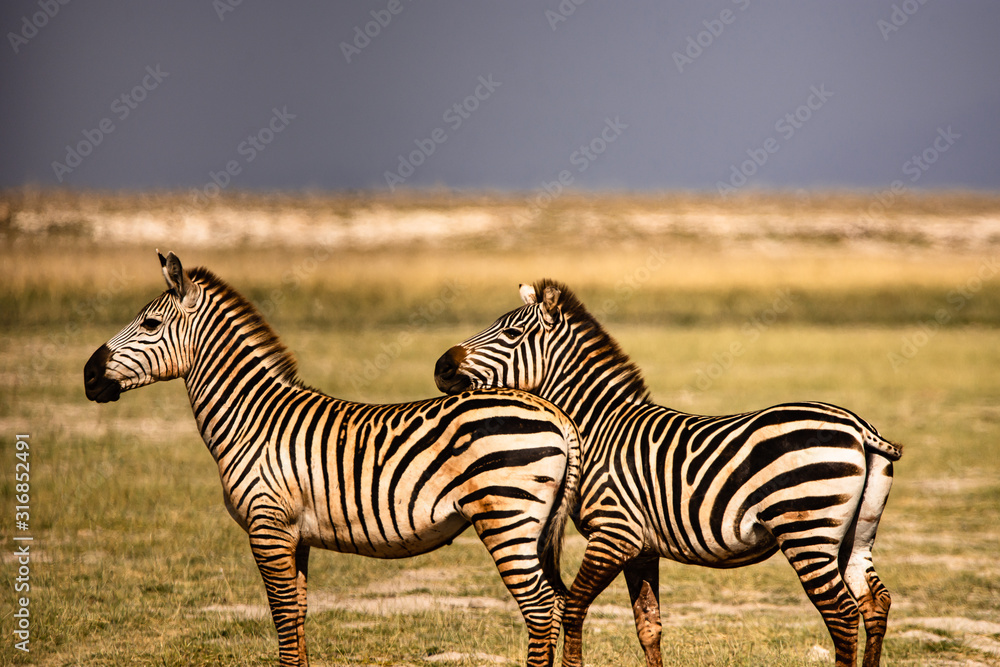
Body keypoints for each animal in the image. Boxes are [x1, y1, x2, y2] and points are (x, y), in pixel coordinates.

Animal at [83, 253, 582, 667]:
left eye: (149, 324)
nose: (88, 375)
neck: (251, 418)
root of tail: (555, 412)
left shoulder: (267, 526)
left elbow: (282, 615)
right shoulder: (295, 534)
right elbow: (299, 612)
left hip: (505, 516)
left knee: (540, 607)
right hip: (536, 527)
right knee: (559, 601)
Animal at [433, 279, 902, 667]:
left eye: (510, 334)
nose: (440, 367)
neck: (597, 426)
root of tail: (859, 427)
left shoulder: (614, 534)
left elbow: (573, 607)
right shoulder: (642, 549)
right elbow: (648, 625)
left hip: (806, 528)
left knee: (842, 614)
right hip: (856, 533)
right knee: (875, 603)